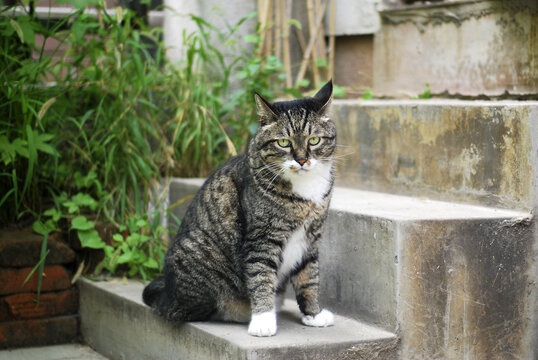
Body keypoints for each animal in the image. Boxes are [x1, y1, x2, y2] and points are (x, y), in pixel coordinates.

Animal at [142, 80, 336, 336]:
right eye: (284, 142)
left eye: (314, 140)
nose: (302, 160)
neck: (305, 188)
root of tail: (166, 293)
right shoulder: (261, 239)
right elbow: (261, 276)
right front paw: (263, 320)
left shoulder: (311, 238)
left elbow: (309, 278)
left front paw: (313, 314)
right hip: (198, 254)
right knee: (187, 311)